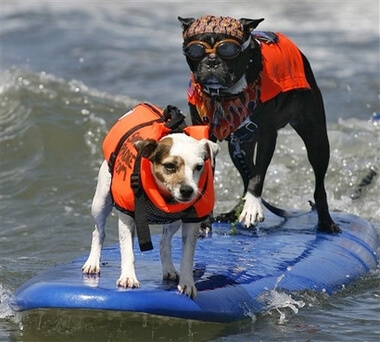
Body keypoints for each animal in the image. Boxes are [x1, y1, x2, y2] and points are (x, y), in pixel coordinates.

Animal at [83, 103, 220, 298]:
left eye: (199, 167)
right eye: (169, 166)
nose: (187, 191)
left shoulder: (191, 222)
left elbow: (187, 256)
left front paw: (187, 283)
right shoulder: (127, 217)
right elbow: (127, 250)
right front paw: (128, 277)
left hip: (174, 221)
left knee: (164, 242)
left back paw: (169, 268)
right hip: (101, 202)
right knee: (98, 232)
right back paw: (92, 262)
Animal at [180, 14, 340, 232]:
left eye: (229, 50)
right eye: (195, 50)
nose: (212, 61)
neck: (226, 95)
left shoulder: (267, 135)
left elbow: (257, 175)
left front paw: (252, 208)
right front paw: (205, 218)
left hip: (316, 138)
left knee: (318, 182)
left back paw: (326, 221)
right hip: (238, 146)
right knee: (245, 174)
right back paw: (233, 212)